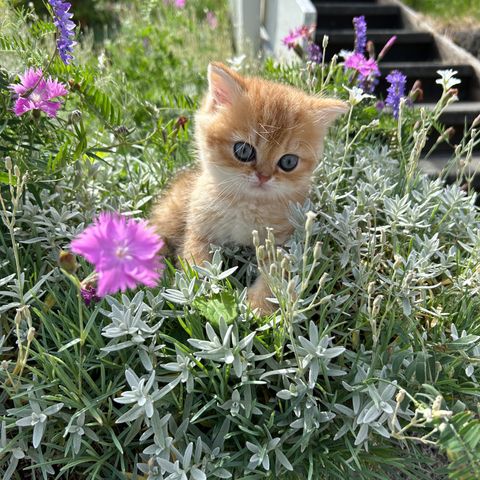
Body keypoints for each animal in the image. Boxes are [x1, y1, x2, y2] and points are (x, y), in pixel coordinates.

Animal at [150, 62, 344, 314]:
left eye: (288, 162)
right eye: (243, 151)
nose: (263, 176)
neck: (246, 203)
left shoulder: (284, 244)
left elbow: (274, 279)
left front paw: (258, 307)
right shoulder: (198, 231)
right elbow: (197, 262)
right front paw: (203, 291)